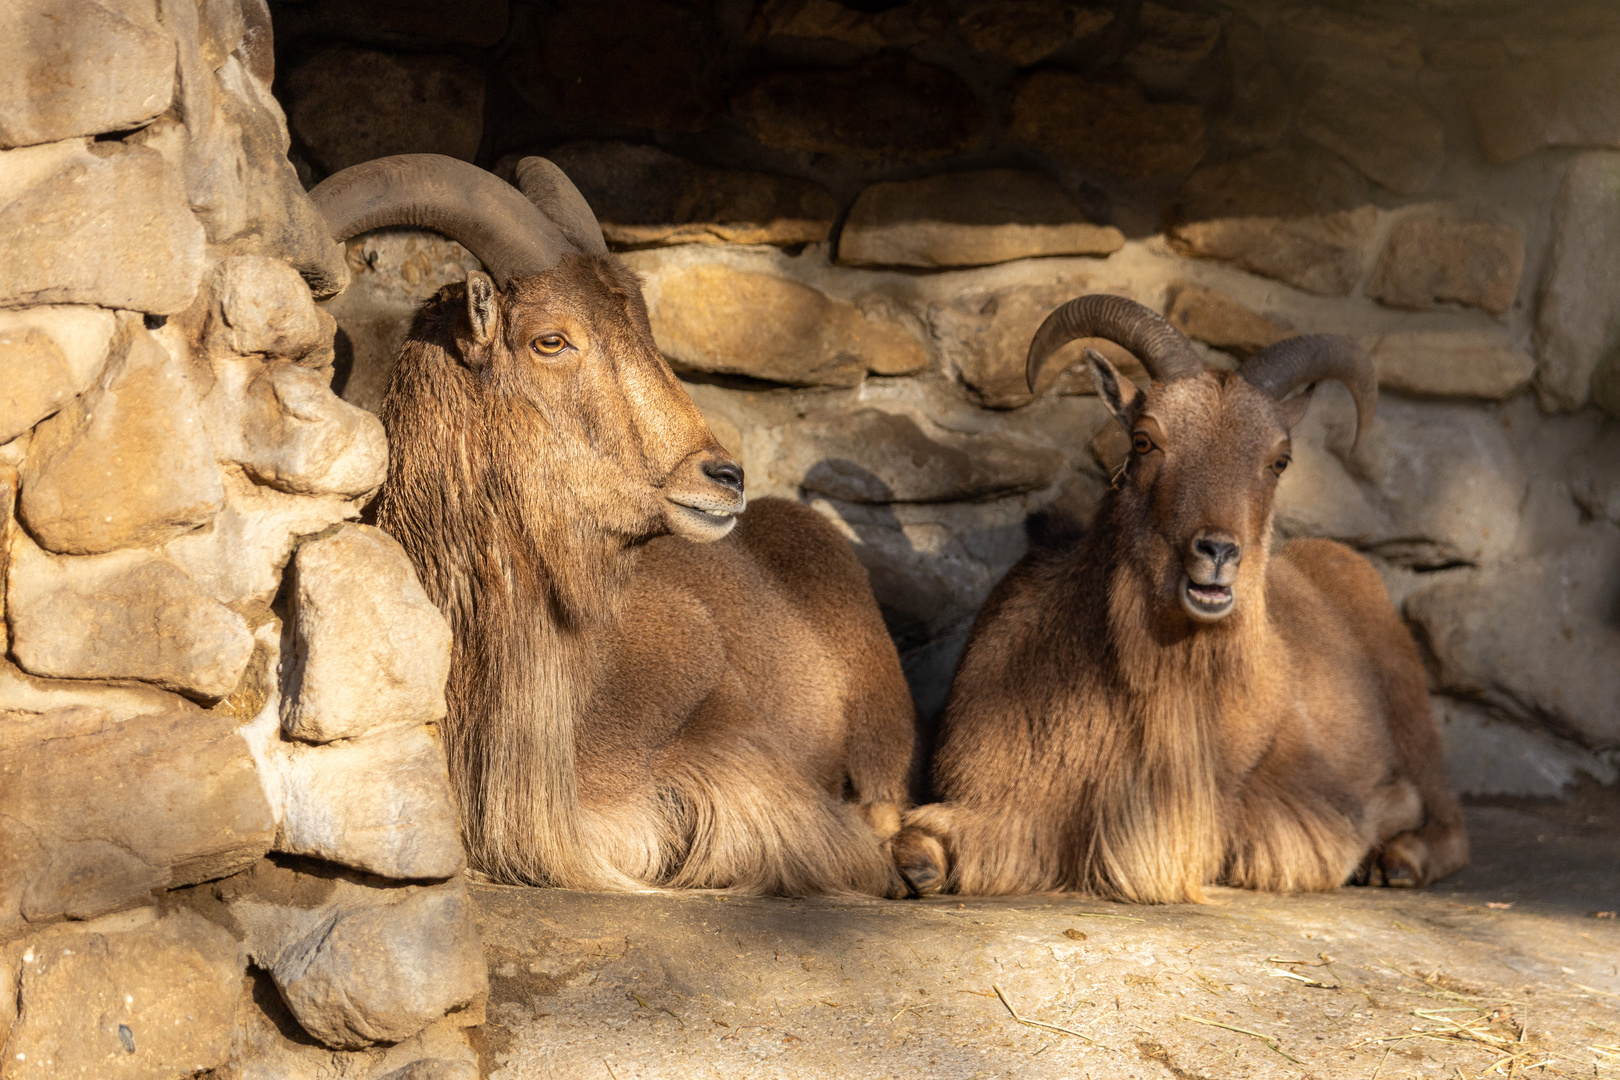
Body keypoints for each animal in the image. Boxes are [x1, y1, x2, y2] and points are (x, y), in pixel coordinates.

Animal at [887, 296, 1470, 906]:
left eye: (1279, 460)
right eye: (1144, 439)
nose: (1217, 551)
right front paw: (920, 866)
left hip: (1411, 712)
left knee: (1445, 818)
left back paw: (1397, 860)